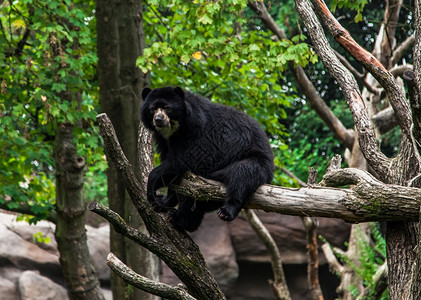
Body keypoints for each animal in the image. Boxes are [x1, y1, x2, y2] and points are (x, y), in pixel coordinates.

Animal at [139, 86, 274, 232]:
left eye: (167, 107)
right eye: (152, 108)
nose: (158, 119)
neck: (174, 130)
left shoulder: (199, 134)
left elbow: (186, 160)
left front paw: (152, 188)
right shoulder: (164, 141)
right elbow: (173, 173)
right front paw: (161, 201)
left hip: (256, 160)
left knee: (242, 175)